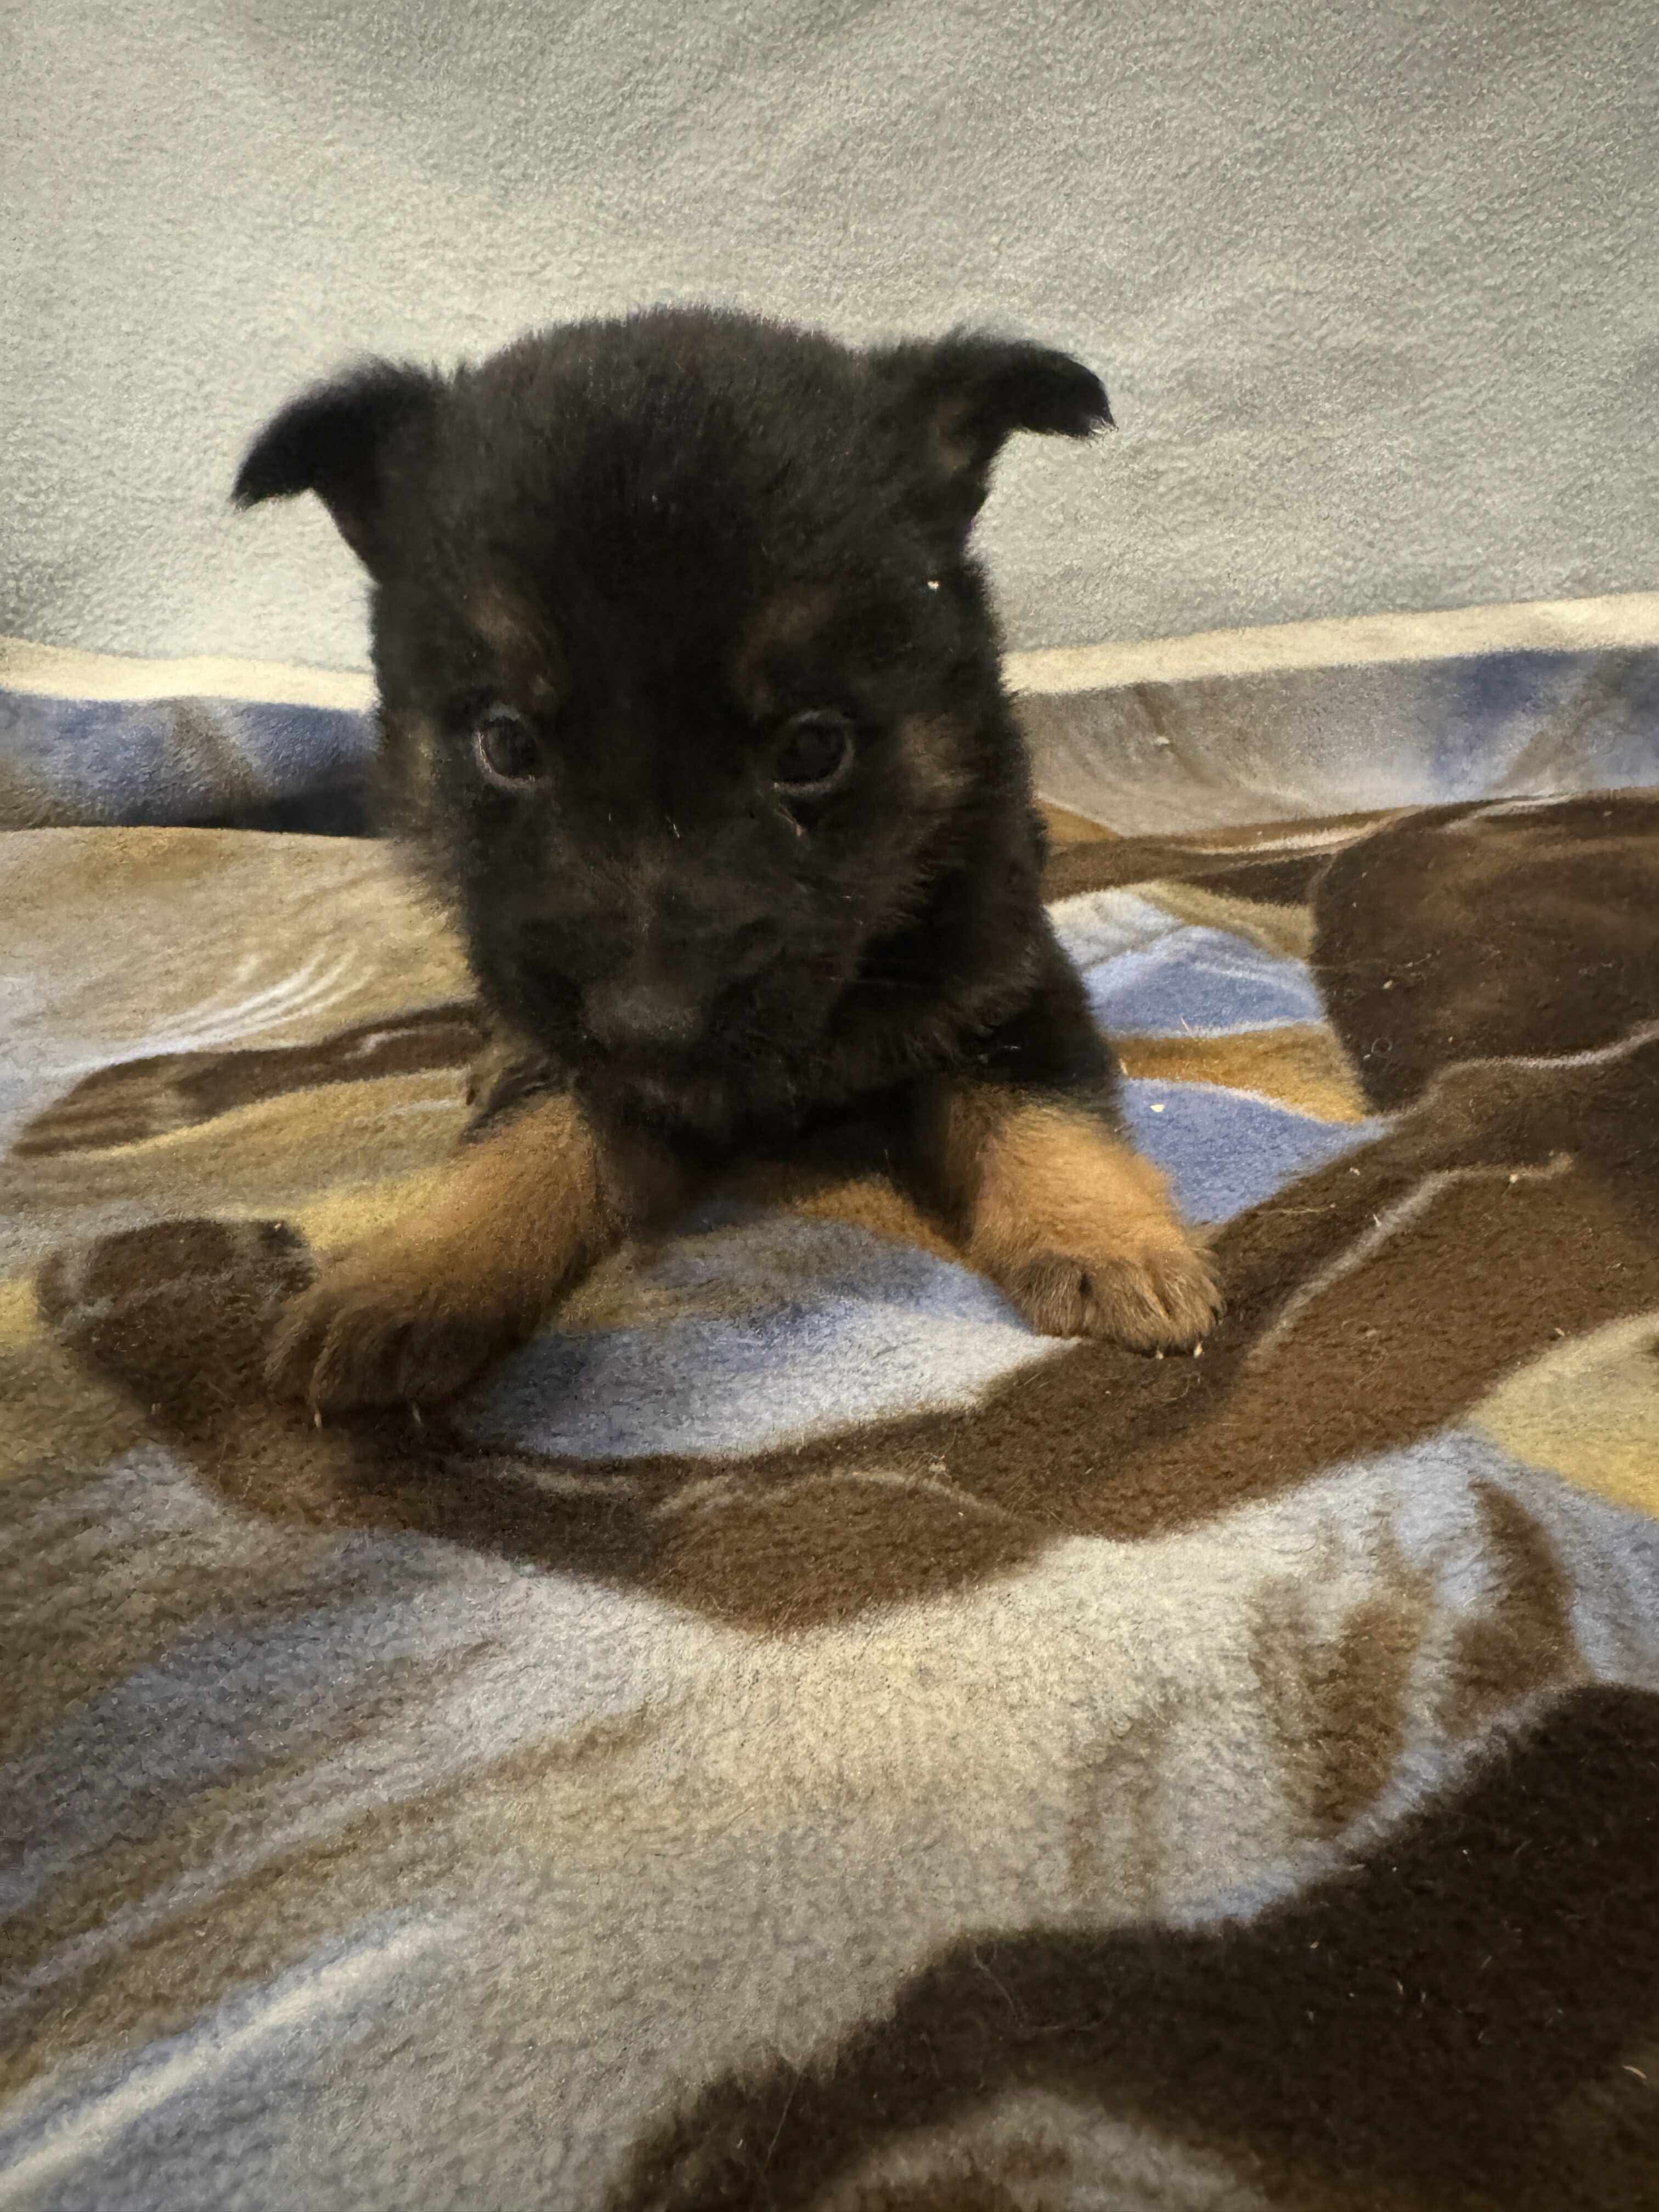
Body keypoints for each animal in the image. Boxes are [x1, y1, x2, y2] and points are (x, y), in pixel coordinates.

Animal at [234, 306, 1220, 1410]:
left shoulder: (1005, 978)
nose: (649, 1025)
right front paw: (415, 1271)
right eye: (505, 744)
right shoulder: (583, 1056)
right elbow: (525, 1140)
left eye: (812, 749)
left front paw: (1110, 1240)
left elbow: (1045, 1108)